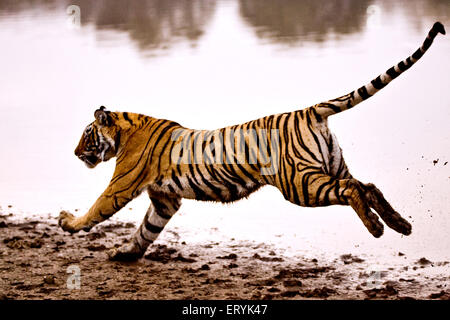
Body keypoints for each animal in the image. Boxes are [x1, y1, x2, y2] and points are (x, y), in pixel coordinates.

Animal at [59, 23, 446, 262]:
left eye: (86, 135)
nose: (75, 153)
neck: (126, 129)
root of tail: (309, 111)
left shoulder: (122, 185)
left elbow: (97, 208)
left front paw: (68, 222)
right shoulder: (165, 199)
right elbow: (146, 230)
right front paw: (125, 254)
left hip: (300, 183)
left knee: (352, 189)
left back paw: (378, 229)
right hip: (328, 168)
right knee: (367, 185)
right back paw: (399, 224)